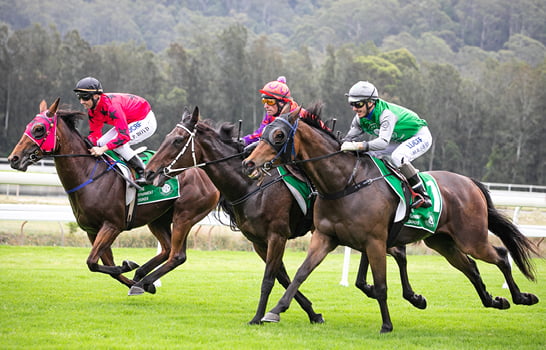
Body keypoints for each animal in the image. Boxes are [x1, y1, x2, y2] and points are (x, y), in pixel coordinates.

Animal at [7, 98, 218, 296]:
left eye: (39, 129)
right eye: (29, 126)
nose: (13, 159)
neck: (88, 175)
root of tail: (204, 172)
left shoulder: (112, 225)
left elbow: (92, 262)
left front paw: (129, 269)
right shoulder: (92, 230)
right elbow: (103, 266)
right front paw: (132, 274)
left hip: (185, 215)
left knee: (177, 254)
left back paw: (144, 278)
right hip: (158, 218)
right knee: (167, 249)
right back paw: (142, 276)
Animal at [143, 108, 424, 324]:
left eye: (178, 140)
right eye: (168, 136)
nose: (149, 172)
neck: (250, 186)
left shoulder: (276, 235)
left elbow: (269, 278)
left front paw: (258, 317)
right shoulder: (258, 241)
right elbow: (283, 276)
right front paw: (311, 313)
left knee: (394, 252)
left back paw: (408, 295)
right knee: (392, 251)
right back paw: (392, 292)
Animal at [243, 106, 540, 334]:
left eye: (279, 135)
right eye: (265, 132)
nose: (248, 163)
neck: (344, 183)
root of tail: (470, 182)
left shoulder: (375, 241)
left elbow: (382, 285)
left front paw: (386, 325)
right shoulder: (325, 237)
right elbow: (300, 275)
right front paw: (275, 311)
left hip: (472, 238)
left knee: (500, 255)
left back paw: (522, 296)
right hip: (442, 242)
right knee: (471, 268)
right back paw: (495, 301)